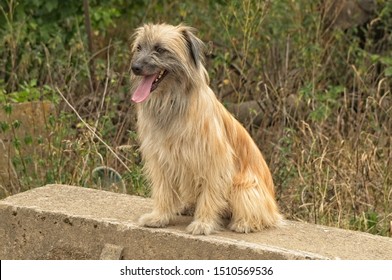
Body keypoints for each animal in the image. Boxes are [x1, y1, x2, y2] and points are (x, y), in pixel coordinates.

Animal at [130, 23, 280, 234]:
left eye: (159, 49)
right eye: (139, 48)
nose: (135, 67)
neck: (172, 101)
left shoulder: (214, 160)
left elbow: (210, 193)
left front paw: (203, 223)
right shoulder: (161, 159)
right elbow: (163, 190)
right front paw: (159, 217)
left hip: (244, 187)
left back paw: (244, 222)